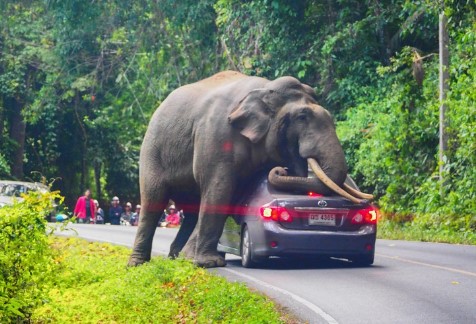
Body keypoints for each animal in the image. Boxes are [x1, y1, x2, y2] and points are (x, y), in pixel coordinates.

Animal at [129, 71, 372, 268]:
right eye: (302, 117)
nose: (280, 169)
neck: (265, 88)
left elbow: (229, 195)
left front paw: (197, 260)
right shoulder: (217, 135)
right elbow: (220, 189)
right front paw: (209, 263)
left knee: (191, 209)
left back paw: (177, 257)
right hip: (152, 150)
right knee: (154, 199)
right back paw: (138, 264)